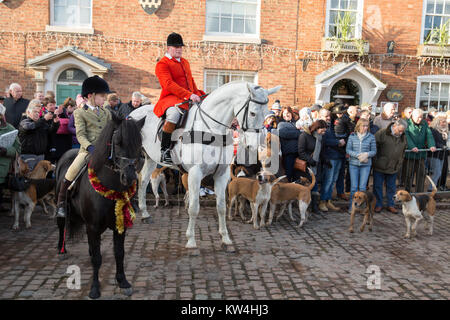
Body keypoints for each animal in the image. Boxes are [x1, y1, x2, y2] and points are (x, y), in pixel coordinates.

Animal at [55, 116, 145, 298]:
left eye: (139, 143)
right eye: (117, 142)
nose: (130, 178)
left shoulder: (120, 225)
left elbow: (119, 253)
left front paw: (123, 282)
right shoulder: (93, 226)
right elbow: (97, 259)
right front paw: (95, 289)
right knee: (61, 225)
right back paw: (61, 250)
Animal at [128, 81, 280, 249]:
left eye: (266, 113)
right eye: (252, 113)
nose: (256, 145)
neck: (213, 130)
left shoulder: (222, 174)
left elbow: (221, 207)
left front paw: (225, 238)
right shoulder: (195, 173)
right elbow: (194, 208)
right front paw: (191, 240)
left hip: (150, 159)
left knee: (142, 180)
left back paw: (145, 213)